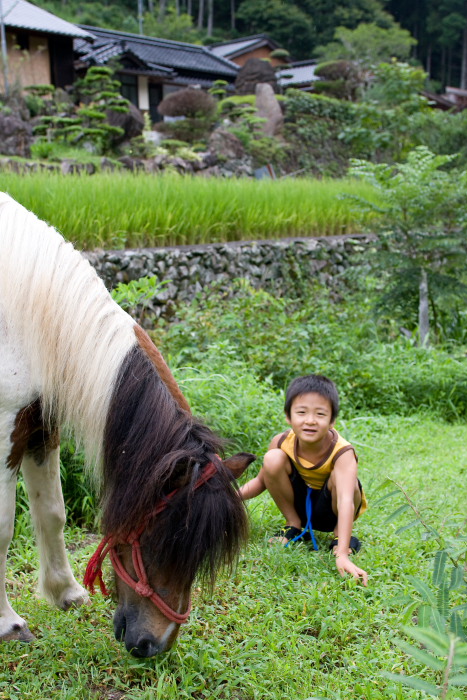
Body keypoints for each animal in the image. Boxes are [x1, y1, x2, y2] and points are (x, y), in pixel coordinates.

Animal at [0, 193, 254, 656]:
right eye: (162, 541)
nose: (153, 646)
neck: (21, 312)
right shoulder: (4, 428)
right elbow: (4, 527)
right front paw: (8, 624)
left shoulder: (39, 424)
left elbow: (52, 512)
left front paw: (65, 593)